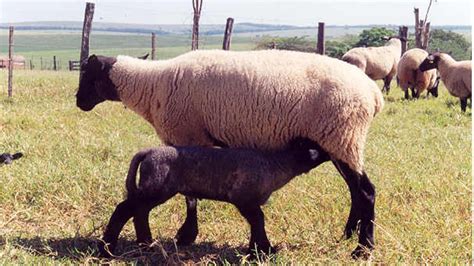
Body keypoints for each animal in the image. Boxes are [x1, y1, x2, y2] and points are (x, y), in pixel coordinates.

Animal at [99, 138, 330, 258]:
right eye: (316, 148)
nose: (330, 153)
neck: (276, 165)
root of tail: (147, 152)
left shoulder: (250, 202)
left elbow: (256, 223)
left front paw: (256, 249)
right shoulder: (244, 199)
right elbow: (259, 221)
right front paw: (263, 251)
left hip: (152, 188)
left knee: (139, 211)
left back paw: (145, 244)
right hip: (156, 186)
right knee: (125, 209)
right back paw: (108, 248)